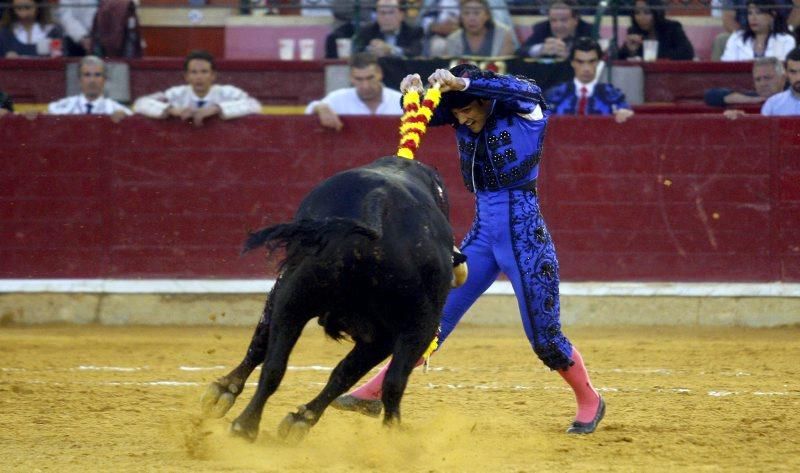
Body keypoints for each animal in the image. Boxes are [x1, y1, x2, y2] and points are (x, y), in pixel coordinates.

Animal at [200, 157, 460, 440]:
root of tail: (379, 206)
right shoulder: (382, 337)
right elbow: (343, 373)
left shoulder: (282, 288)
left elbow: (262, 342)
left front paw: (222, 391)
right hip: (412, 325)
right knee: (390, 382)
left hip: (297, 295)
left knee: (276, 365)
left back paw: (246, 425)